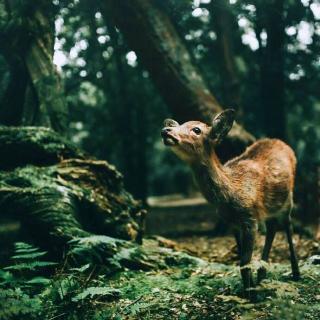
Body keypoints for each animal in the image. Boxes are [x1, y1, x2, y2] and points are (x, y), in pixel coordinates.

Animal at [161, 109, 302, 298]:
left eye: (197, 129)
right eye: (179, 124)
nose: (166, 130)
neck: (231, 194)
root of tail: (283, 143)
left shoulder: (250, 219)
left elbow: (245, 262)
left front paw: (250, 295)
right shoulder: (232, 223)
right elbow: (241, 260)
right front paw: (249, 288)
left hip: (288, 201)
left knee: (288, 227)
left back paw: (296, 274)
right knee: (272, 228)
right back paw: (262, 276)